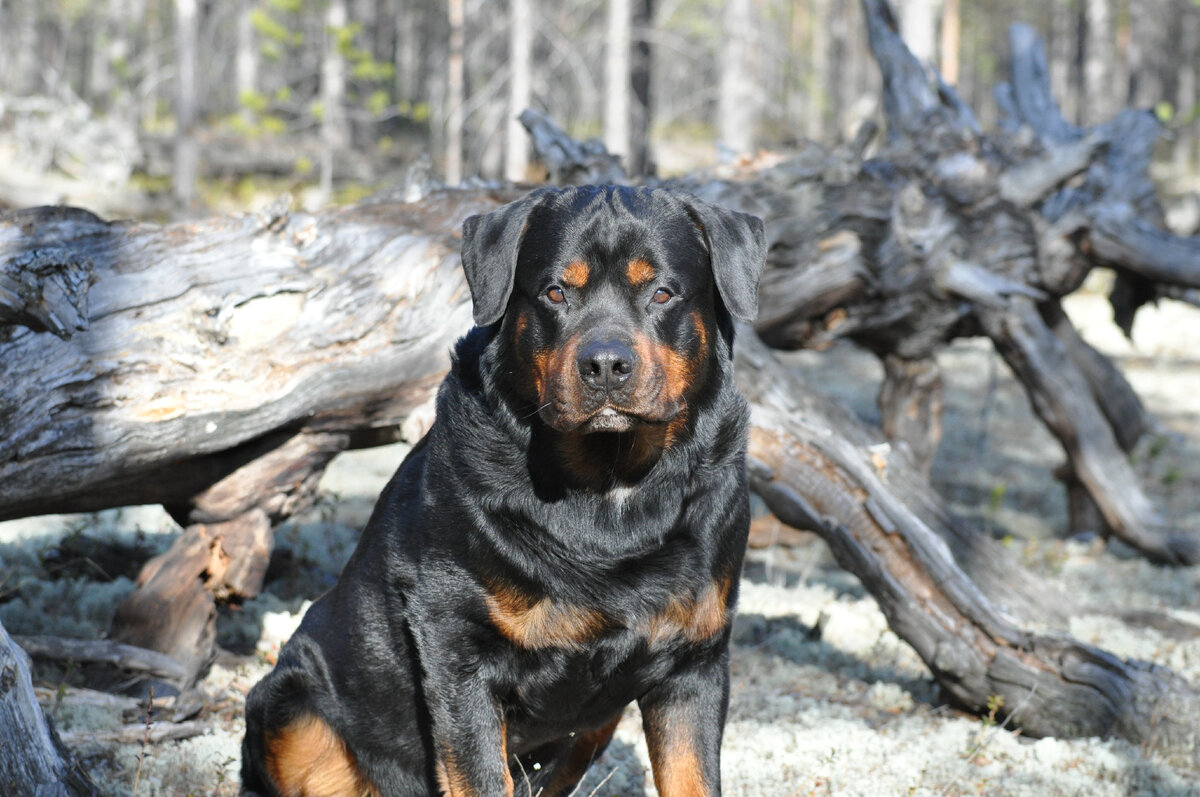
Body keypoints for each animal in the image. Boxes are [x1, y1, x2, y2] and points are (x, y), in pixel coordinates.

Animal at [242, 183, 763, 792]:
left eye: (661, 292)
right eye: (555, 292)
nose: (606, 363)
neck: (610, 489)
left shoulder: (696, 657)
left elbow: (693, 775)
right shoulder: (456, 646)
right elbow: (480, 773)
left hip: (596, 728)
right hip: (290, 702)